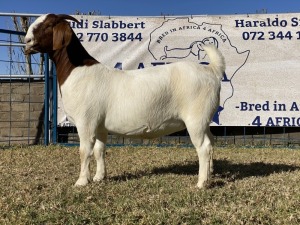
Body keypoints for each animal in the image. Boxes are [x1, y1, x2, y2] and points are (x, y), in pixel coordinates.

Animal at [25, 14, 225, 188]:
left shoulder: (86, 121)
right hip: (205, 119)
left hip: (195, 118)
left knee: (203, 147)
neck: (77, 70)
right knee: (211, 141)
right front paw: (99, 177)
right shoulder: (100, 125)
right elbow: (99, 150)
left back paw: (201, 183)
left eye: (48, 25)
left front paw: (81, 181)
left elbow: (84, 151)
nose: (26, 41)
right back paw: (211, 173)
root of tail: (212, 70)